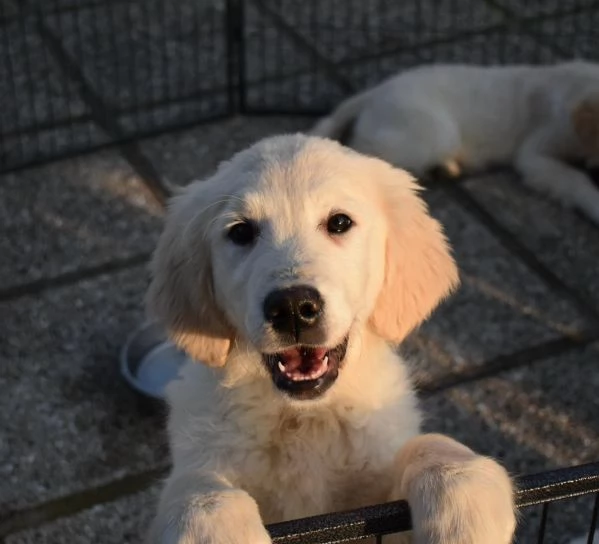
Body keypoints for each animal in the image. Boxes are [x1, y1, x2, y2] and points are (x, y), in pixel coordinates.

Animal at [145, 135, 516, 544]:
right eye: (240, 232)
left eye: (339, 222)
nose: (292, 308)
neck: (304, 419)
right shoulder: (203, 455)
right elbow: (198, 485)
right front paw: (214, 526)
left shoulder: (377, 502)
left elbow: (429, 444)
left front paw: (464, 499)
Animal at [312, 61, 599, 225]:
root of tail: (376, 91)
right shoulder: (536, 153)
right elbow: (573, 179)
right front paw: (593, 203)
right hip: (437, 134)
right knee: (365, 150)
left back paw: (445, 169)